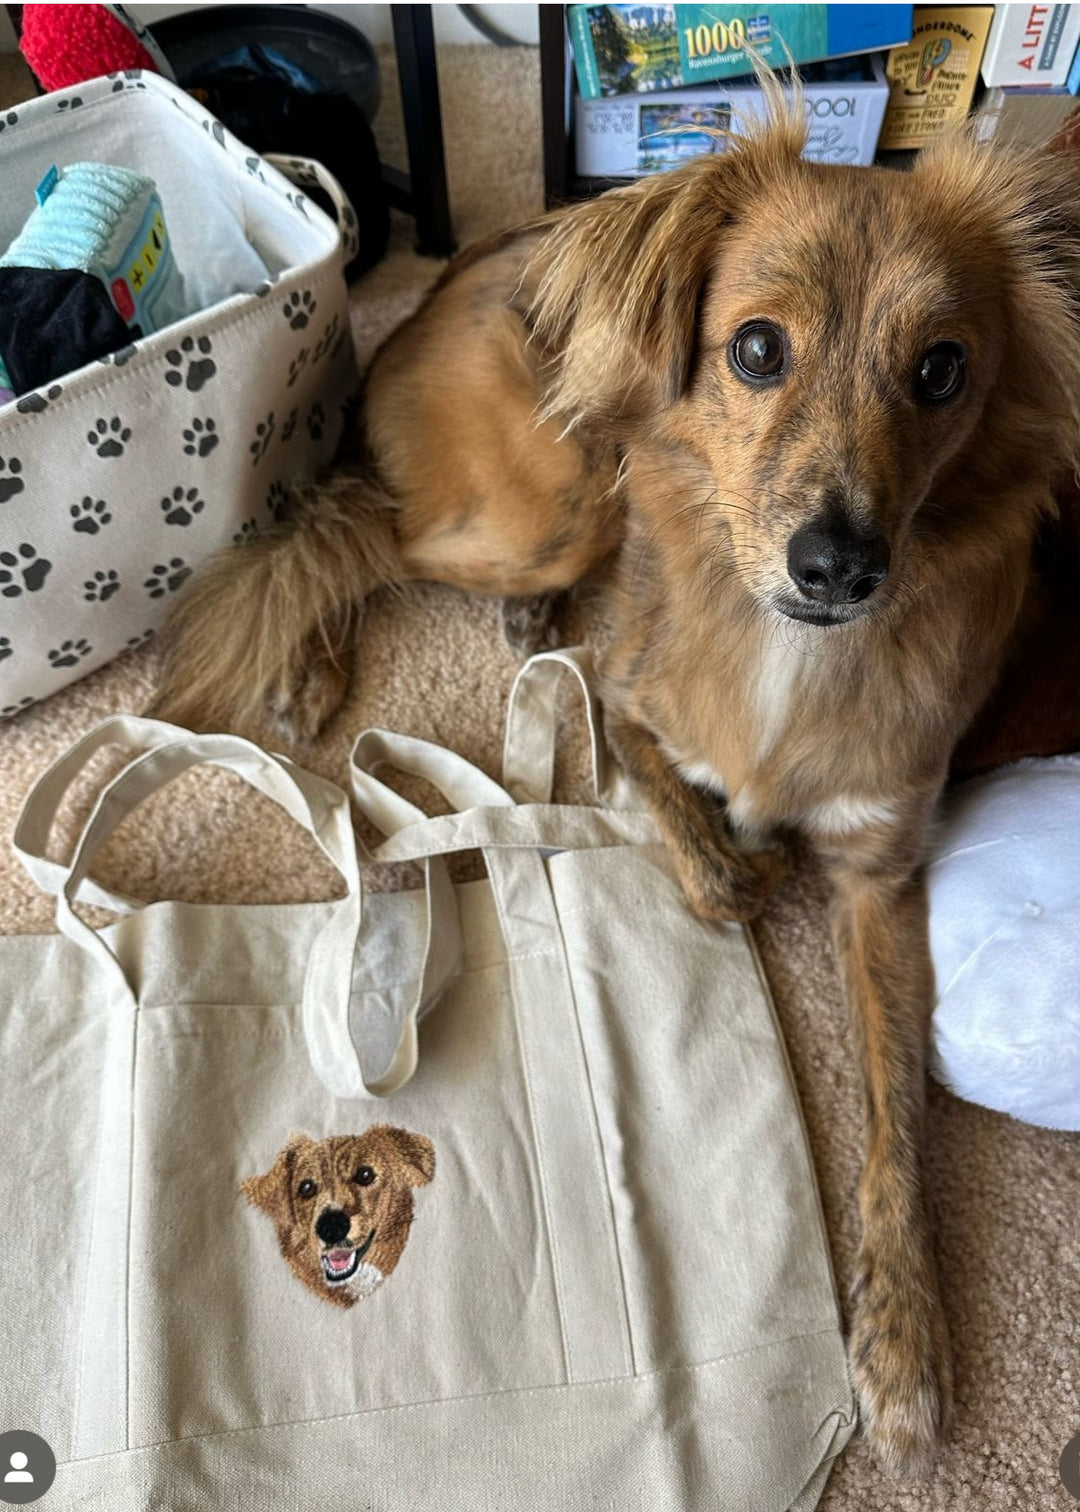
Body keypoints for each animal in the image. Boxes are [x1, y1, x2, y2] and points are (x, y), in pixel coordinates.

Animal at [159, 106, 1080, 1475]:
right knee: (350, 529)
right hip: (561, 501)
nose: (839, 564)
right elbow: (700, 851)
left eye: (942, 371)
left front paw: (905, 1345)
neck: (790, 646)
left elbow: (899, 1121)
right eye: (756, 348)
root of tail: (444, 280)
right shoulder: (624, 688)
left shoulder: (881, 873)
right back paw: (307, 666)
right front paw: (738, 858)